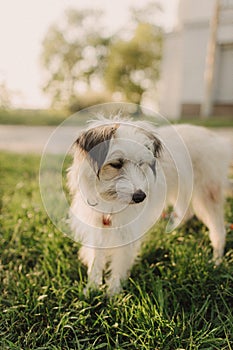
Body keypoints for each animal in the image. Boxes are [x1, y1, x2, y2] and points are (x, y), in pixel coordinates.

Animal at [67, 118, 231, 296]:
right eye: (116, 164)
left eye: (140, 164)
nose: (140, 197)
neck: (111, 201)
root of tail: (215, 138)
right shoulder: (96, 226)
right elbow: (96, 260)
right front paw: (91, 289)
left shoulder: (128, 230)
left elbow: (120, 261)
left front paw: (114, 293)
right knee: (186, 211)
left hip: (207, 195)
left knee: (218, 230)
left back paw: (216, 260)